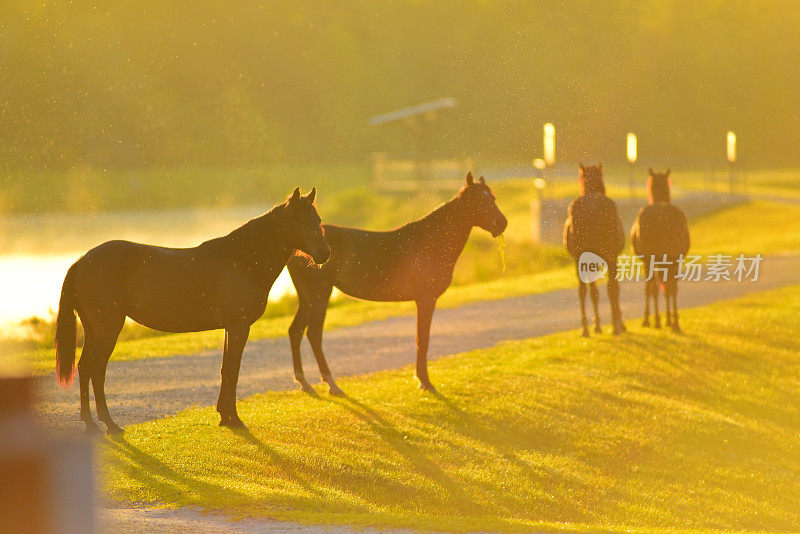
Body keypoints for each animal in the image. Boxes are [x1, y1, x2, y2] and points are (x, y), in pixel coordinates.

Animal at [54, 186, 328, 434]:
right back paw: (105, 424)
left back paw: (93, 422)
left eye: (318, 219)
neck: (242, 260)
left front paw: (224, 416)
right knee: (95, 368)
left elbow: (225, 369)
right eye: (300, 219)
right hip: (108, 329)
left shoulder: (230, 328)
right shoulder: (239, 326)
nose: (325, 253)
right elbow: (233, 371)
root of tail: (82, 260)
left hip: (94, 329)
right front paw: (234, 419)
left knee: (85, 368)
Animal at [286, 174, 506, 396]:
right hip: (319, 295)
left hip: (307, 298)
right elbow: (422, 339)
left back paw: (304, 382)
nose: (502, 224)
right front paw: (425, 382)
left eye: (493, 198)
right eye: (479, 201)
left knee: (295, 331)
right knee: (314, 334)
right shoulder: (425, 299)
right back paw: (331, 383)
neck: (431, 241)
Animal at [564, 164, 624, 340]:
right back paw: (615, 326)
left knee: (583, 291)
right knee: (612, 288)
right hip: (608, 256)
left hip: (582, 259)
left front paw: (597, 325)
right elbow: (610, 289)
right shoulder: (613, 257)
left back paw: (585, 328)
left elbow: (594, 292)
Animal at [632, 170, 688, 332]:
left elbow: (655, 289)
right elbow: (665, 288)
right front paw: (668, 319)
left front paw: (663, 319)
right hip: (668, 259)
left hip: (656, 259)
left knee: (657, 288)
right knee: (668, 287)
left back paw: (656, 320)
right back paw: (671, 322)